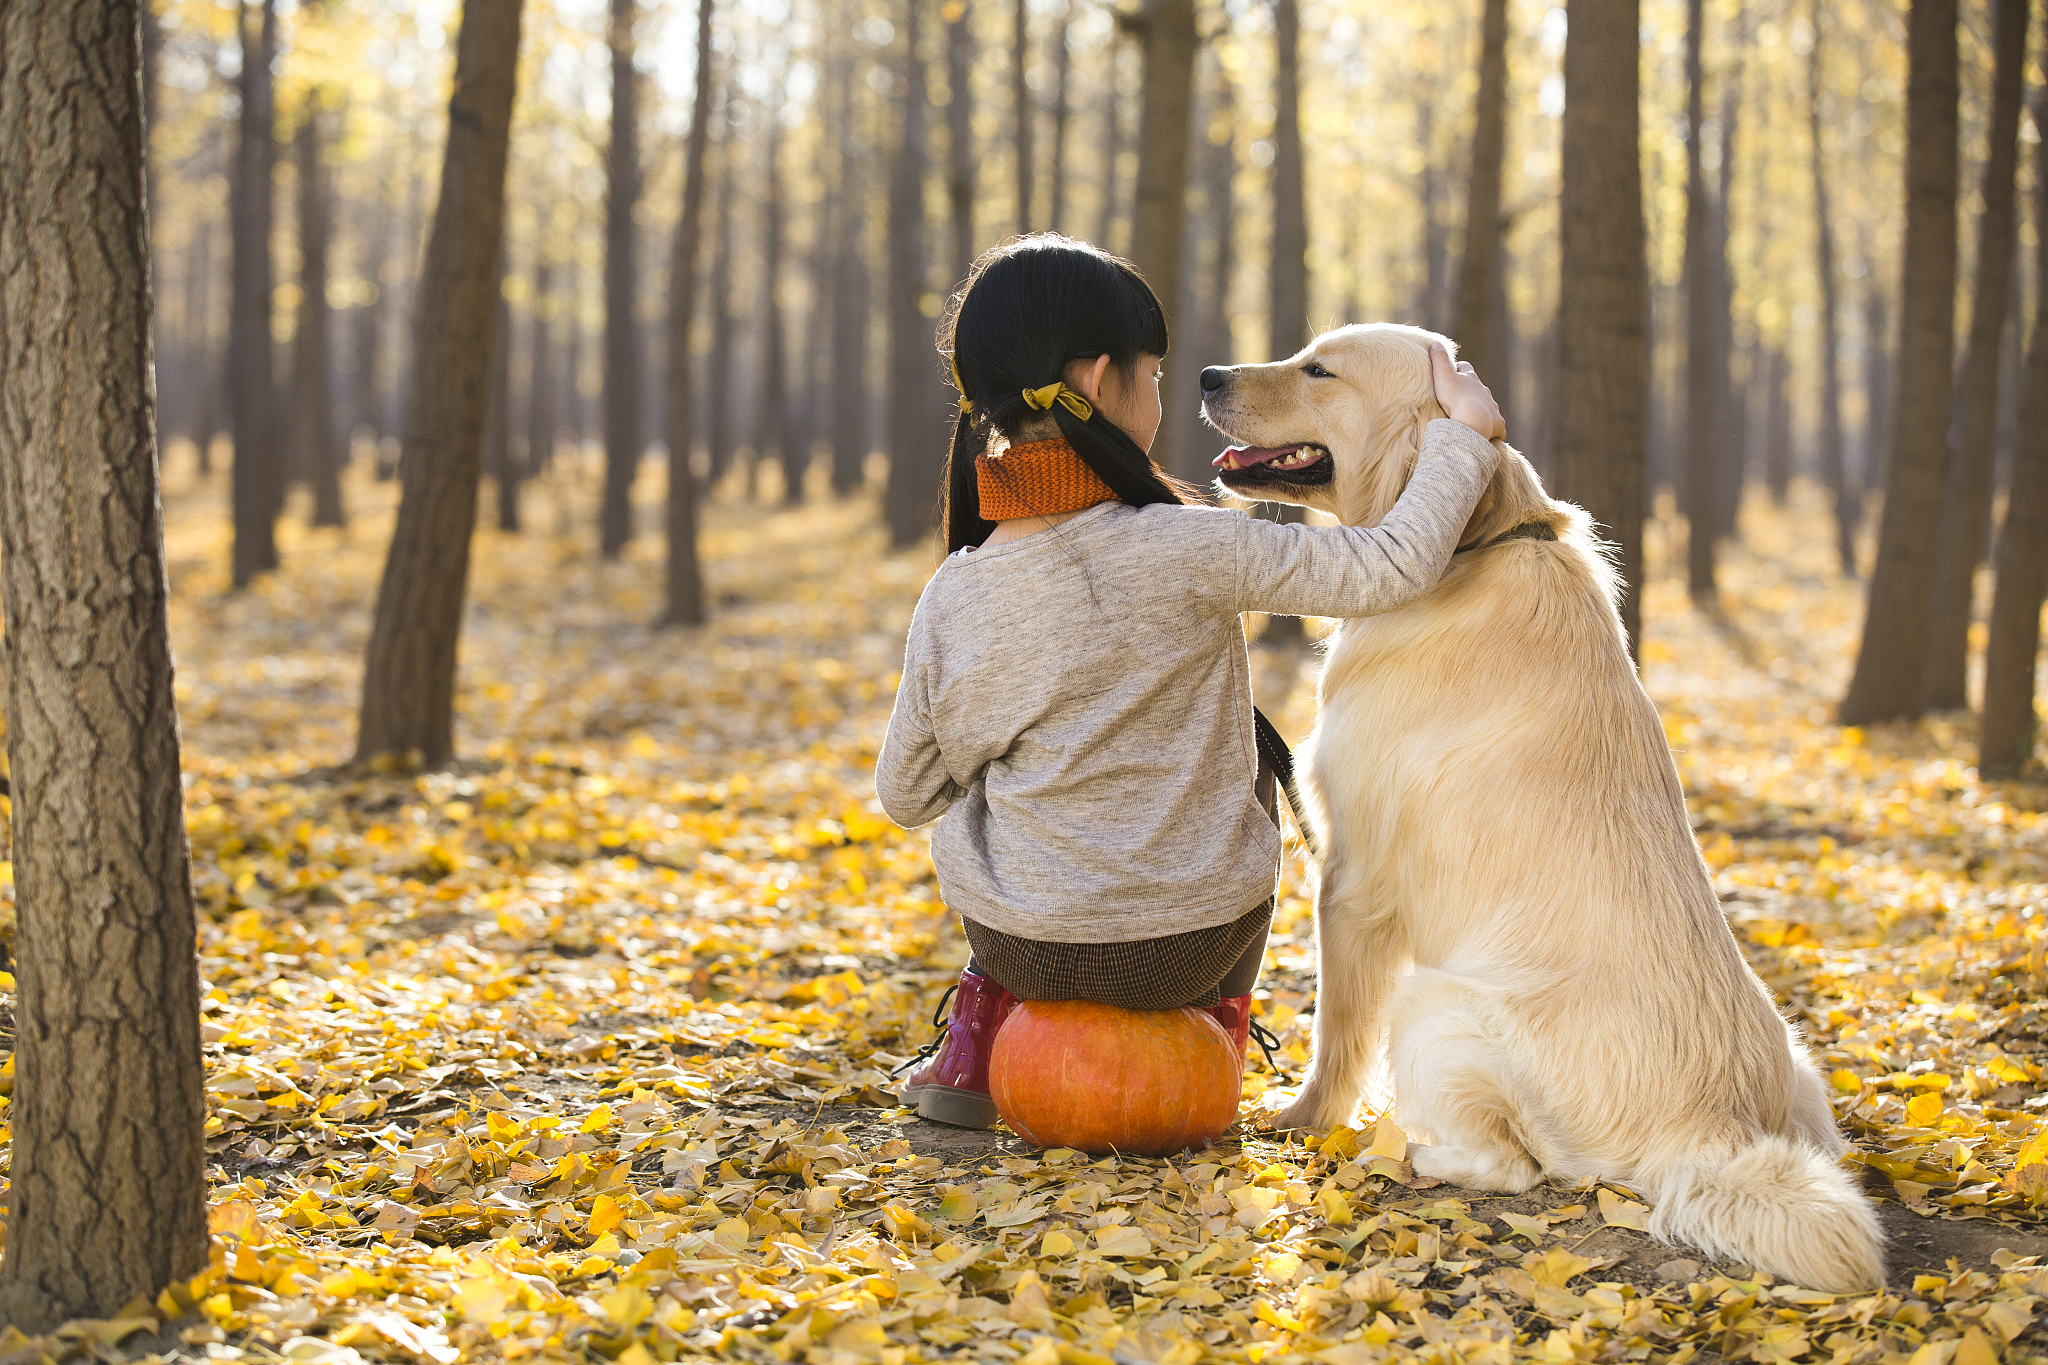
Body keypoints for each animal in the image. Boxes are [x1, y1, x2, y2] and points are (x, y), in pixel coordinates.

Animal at [1196, 325, 1884, 1301]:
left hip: (1433, 1001)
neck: (1468, 548)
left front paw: (1305, 1116)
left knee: (1512, 1165)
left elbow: (1336, 1030)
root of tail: (1711, 1131)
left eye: (1319, 368)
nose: (1208, 374)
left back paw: (1405, 1152)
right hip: (1801, 1068)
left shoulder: (1352, 878)